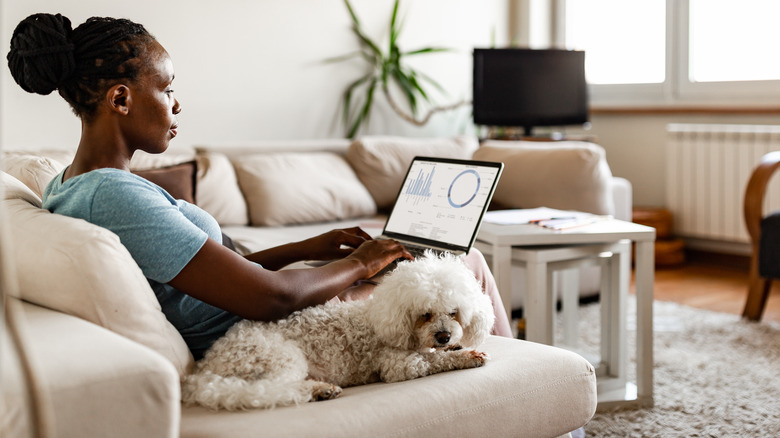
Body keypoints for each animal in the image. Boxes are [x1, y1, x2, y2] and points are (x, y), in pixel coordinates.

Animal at [182, 252, 494, 408]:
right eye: (424, 315)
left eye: (453, 312)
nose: (444, 336)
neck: (384, 316)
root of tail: (205, 369)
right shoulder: (398, 364)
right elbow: (435, 360)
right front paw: (466, 356)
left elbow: (438, 352)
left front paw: (457, 346)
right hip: (279, 357)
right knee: (270, 389)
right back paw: (321, 390)